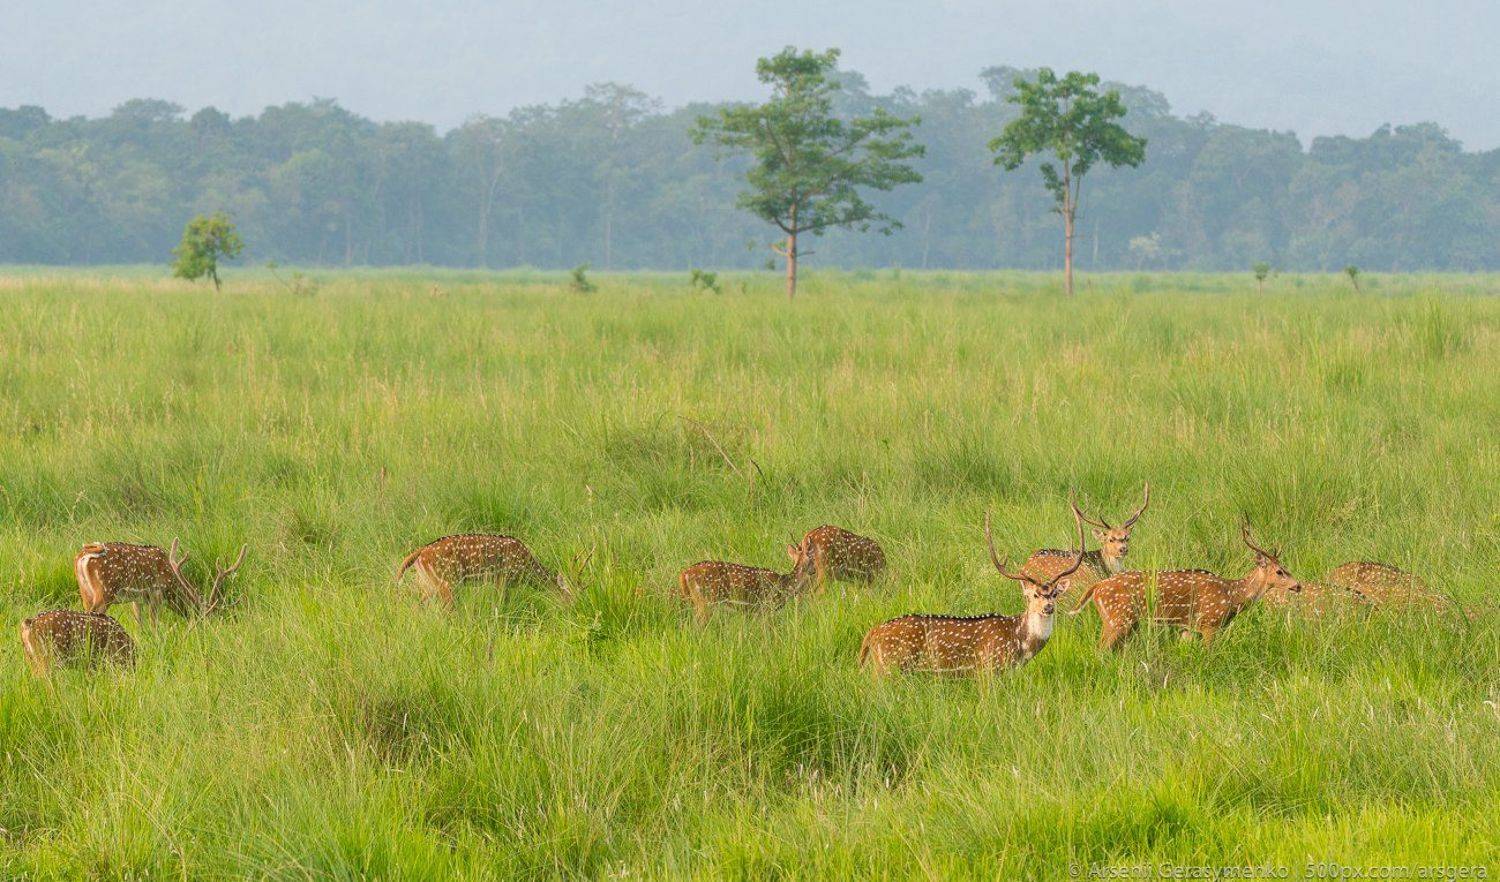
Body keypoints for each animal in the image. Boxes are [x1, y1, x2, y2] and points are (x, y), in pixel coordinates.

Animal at [76, 539, 246, 625]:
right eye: (205, 619)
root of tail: (83, 556)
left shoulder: (137, 599)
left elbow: (139, 623)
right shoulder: (157, 591)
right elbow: (153, 623)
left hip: (85, 592)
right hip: (105, 590)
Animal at [395, 534, 574, 607]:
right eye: (569, 596)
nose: (575, 608)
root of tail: (420, 553)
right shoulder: (501, 577)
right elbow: (500, 603)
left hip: (430, 583)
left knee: (416, 605)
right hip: (446, 582)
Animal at [679, 552, 818, 624]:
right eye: (811, 562)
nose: (815, 570)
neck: (784, 585)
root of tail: (684, 573)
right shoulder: (765, 606)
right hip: (706, 600)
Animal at [859, 506, 1086, 676]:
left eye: (1055, 593)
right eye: (1033, 595)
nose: (1048, 607)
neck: (1021, 646)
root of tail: (872, 634)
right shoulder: (989, 667)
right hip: (889, 665)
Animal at [1070, 521, 1300, 650]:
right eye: (1279, 571)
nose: (1298, 585)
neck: (1233, 595)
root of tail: (1096, 587)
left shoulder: (1188, 628)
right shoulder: (1210, 623)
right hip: (1117, 619)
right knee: (1100, 650)